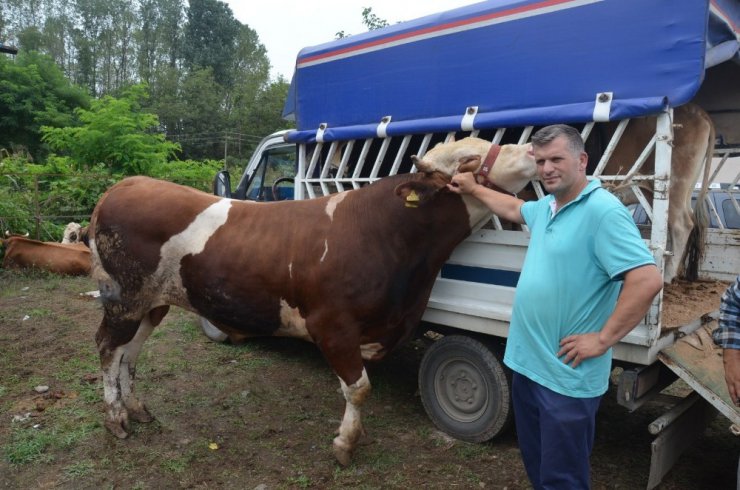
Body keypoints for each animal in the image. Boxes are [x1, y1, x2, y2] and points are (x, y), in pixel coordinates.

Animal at [89, 139, 536, 468]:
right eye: (469, 158)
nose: (533, 149)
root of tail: (124, 185)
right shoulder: (333, 325)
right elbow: (358, 388)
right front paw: (346, 444)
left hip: (153, 302)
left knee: (130, 351)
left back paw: (137, 407)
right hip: (124, 297)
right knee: (109, 348)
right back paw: (116, 419)